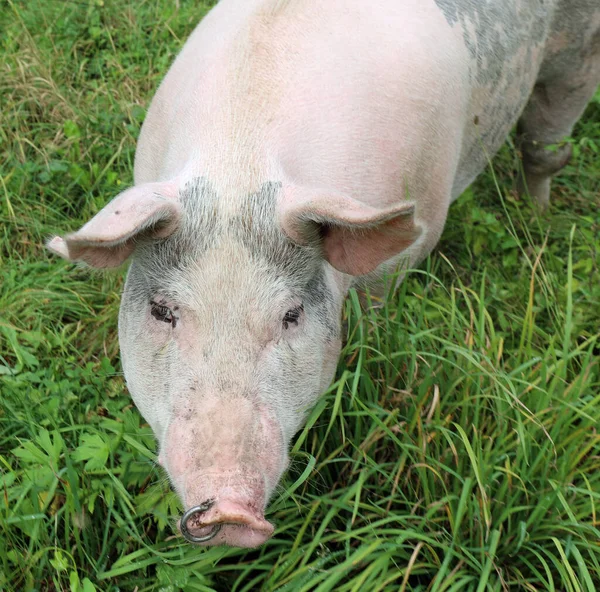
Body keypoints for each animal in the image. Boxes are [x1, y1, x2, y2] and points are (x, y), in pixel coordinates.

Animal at [48, 0, 600, 544]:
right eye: (162, 311)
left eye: (291, 315)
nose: (227, 510)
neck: (239, 162)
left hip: (577, 55)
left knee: (545, 145)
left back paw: (536, 213)